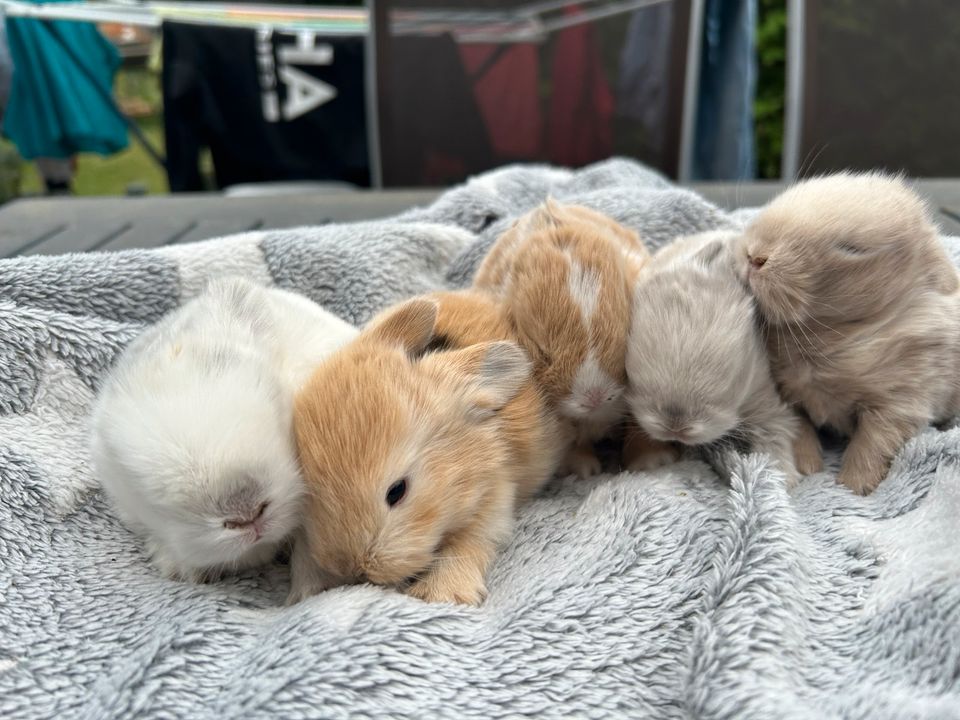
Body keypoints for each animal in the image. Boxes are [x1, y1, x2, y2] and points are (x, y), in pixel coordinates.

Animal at [292, 290, 564, 604]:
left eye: (397, 491)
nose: (353, 568)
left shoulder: (494, 497)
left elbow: (469, 541)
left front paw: (441, 594)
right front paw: (308, 591)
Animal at [628, 232, 800, 484]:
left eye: (733, 381)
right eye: (634, 382)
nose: (675, 428)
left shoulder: (761, 392)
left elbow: (775, 434)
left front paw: (786, 480)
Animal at [736, 174, 960, 498]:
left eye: (852, 249)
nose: (754, 256)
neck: (832, 335)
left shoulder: (899, 404)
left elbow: (871, 446)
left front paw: (854, 489)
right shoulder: (788, 396)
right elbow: (799, 431)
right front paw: (808, 469)